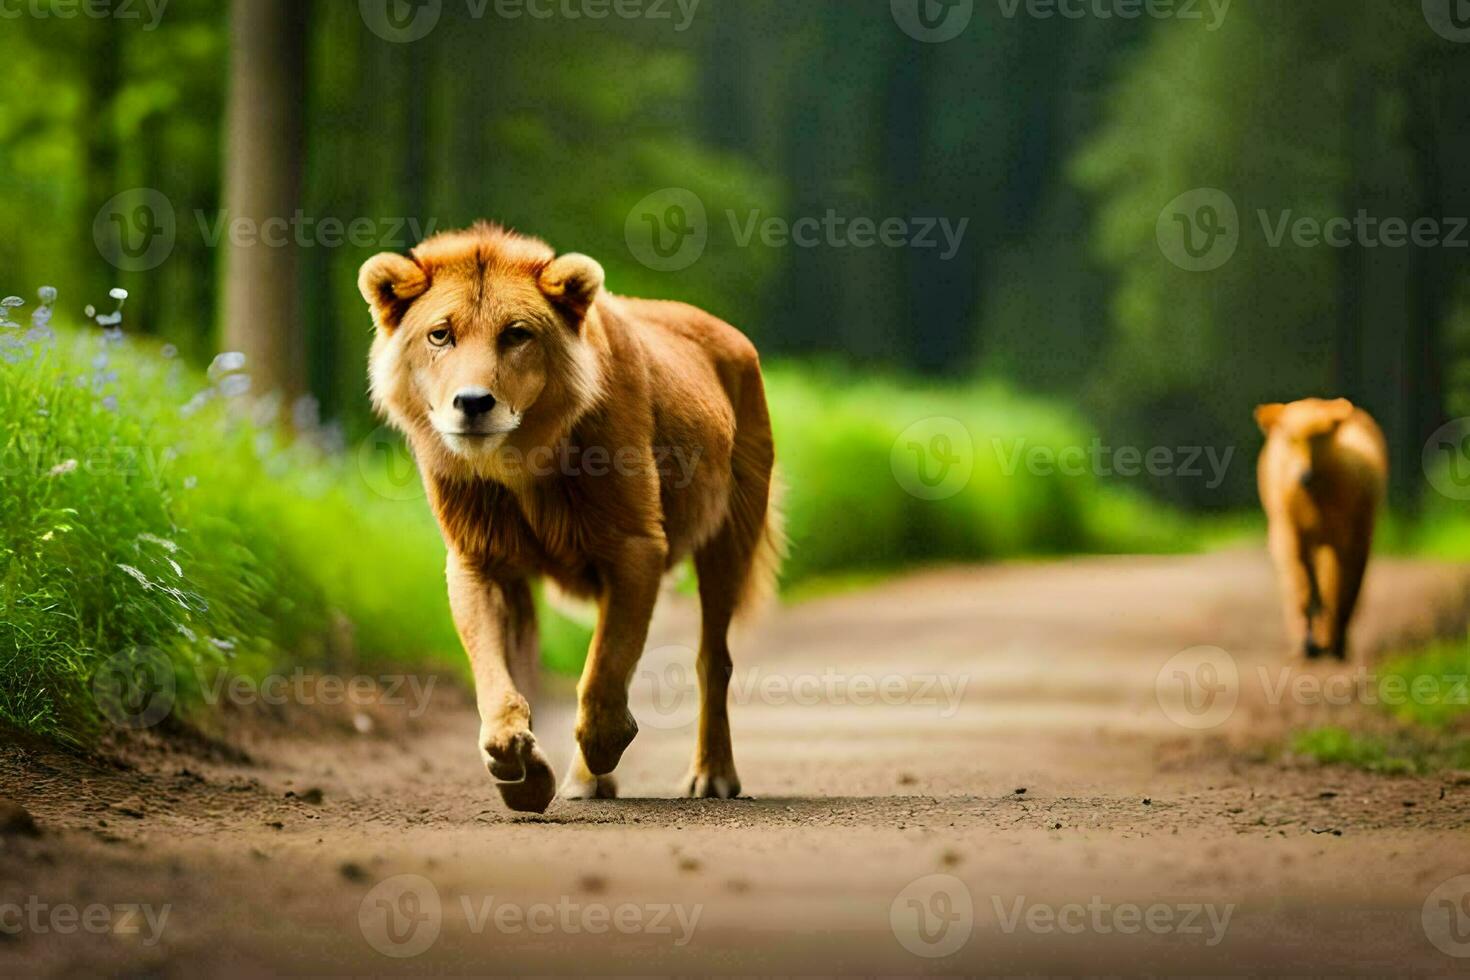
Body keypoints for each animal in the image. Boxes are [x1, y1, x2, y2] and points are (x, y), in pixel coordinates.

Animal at [358, 221, 782, 811]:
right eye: (440, 335)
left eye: (516, 334)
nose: (473, 403)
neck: (519, 461)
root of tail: (731, 336)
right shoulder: (479, 563)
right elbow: (498, 676)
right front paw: (515, 764)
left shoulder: (634, 546)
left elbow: (604, 671)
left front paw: (604, 744)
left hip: (728, 542)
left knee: (711, 660)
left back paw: (711, 775)